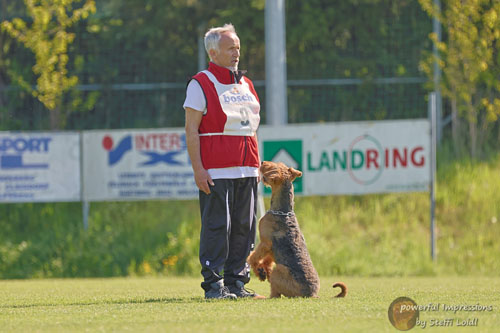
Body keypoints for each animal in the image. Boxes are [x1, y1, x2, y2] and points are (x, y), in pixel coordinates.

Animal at [247, 161, 348, 298]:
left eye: (274, 168)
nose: (262, 162)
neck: (283, 211)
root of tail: (312, 294)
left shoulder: (265, 242)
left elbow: (253, 257)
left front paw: (258, 269)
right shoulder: (271, 248)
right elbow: (266, 261)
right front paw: (263, 271)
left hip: (279, 271)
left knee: (275, 294)